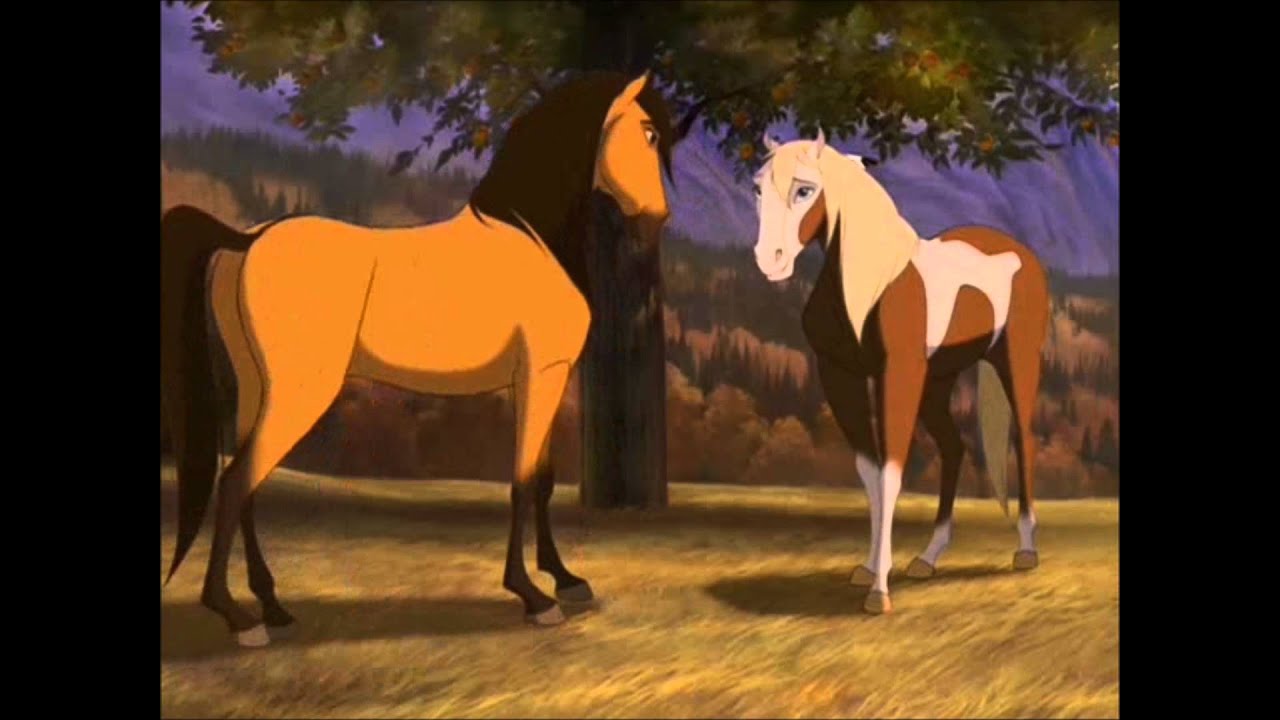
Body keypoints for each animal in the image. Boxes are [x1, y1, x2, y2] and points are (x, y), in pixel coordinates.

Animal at [160, 71, 676, 647]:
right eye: (650, 133)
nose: (654, 220)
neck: (531, 238)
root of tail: (248, 238)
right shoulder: (542, 375)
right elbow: (522, 480)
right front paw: (533, 596)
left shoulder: (541, 380)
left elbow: (541, 480)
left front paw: (566, 580)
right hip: (299, 392)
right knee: (236, 483)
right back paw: (238, 618)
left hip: (258, 387)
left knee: (247, 482)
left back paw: (272, 606)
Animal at [751, 130, 1050, 615]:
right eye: (758, 188)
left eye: (805, 190)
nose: (770, 260)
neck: (871, 284)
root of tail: (1019, 251)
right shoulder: (841, 376)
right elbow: (869, 472)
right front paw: (870, 568)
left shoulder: (898, 374)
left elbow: (891, 473)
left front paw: (879, 592)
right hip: (937, 381)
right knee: (954, 448)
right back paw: (927, 559)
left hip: (1016, 362)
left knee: (1023, 441)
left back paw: (1025, 550)